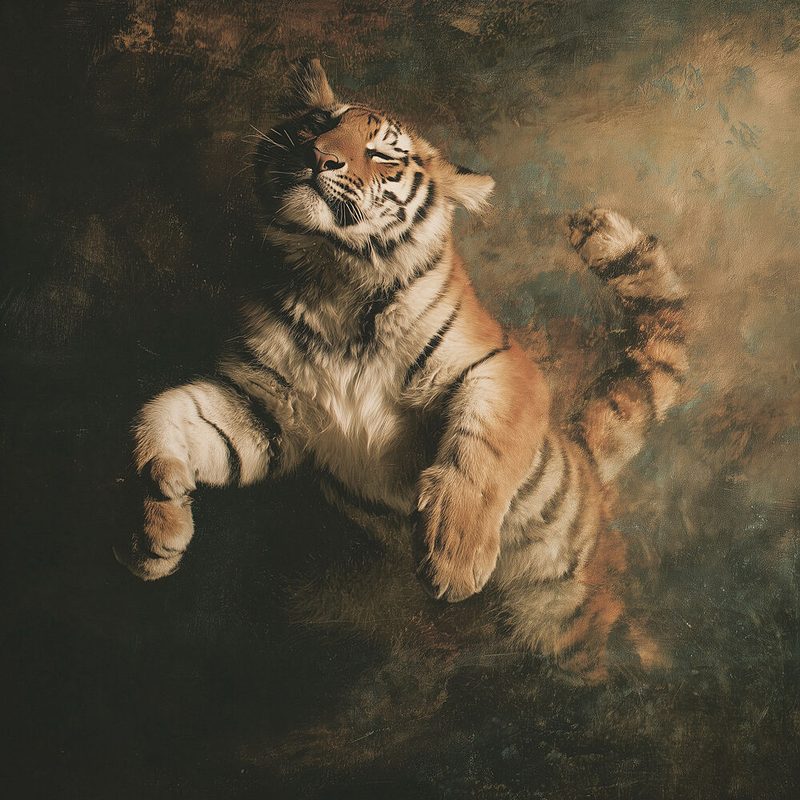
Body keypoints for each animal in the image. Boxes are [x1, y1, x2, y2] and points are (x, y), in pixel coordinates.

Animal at [115, 59, 688, 679]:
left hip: (569, 606)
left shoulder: (497, 365)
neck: (330, 275)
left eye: (381, 154)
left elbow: (481, 451)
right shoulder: (265, 405)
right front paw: (154, 534)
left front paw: (455, 557)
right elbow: (157, 413)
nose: (318, 157)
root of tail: (581, 448)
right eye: (318, 123)